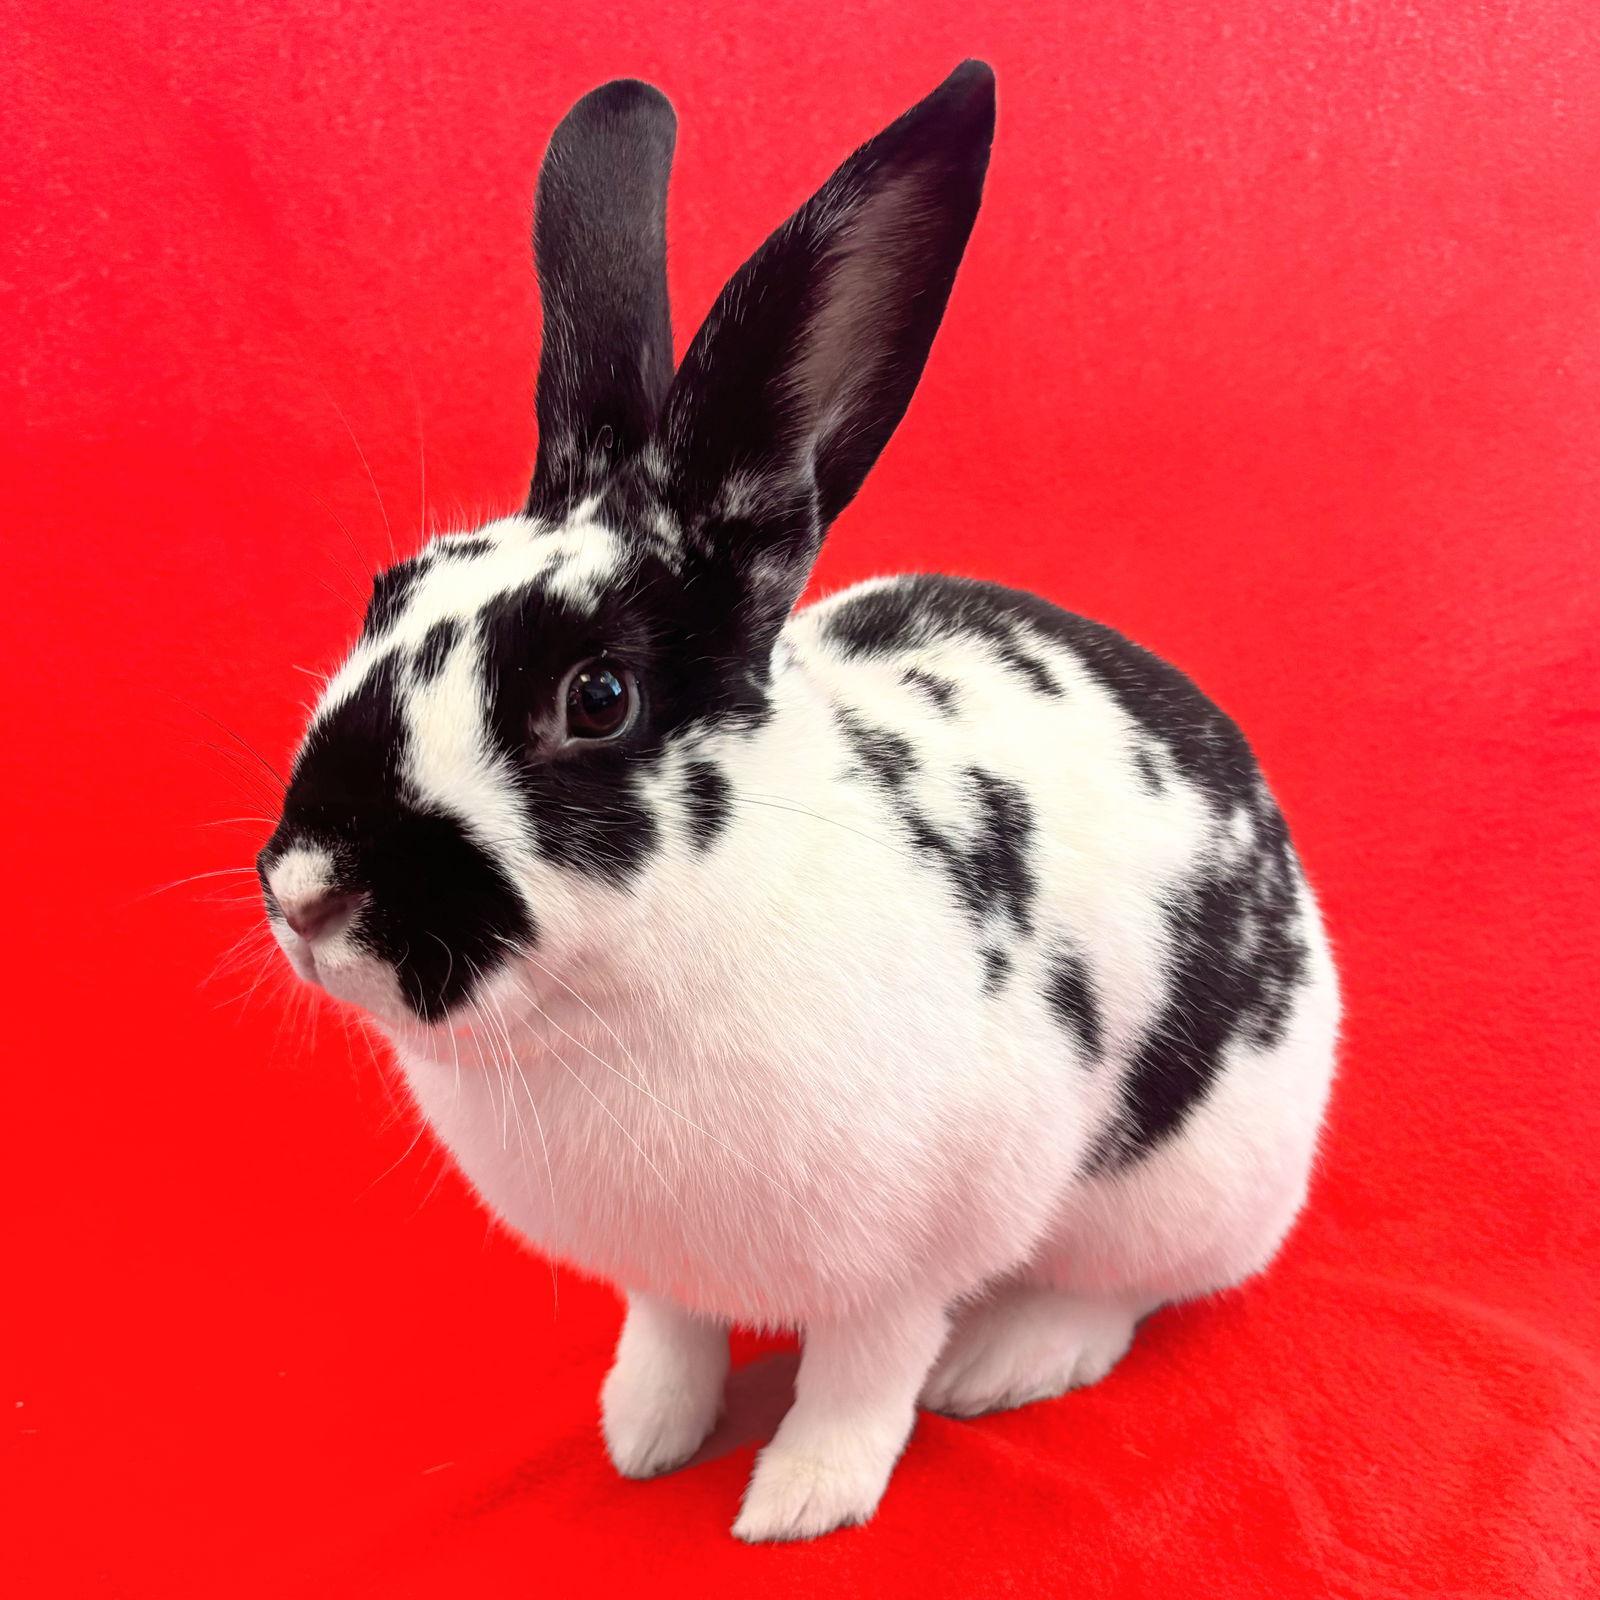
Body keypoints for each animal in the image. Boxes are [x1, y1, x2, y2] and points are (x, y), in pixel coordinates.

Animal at [257, 61, 1339, 1543]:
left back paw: (1012, 1357)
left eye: (598, 697)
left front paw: (800, 1501)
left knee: (1129, 1286)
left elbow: (864, 1373)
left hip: (1186, 1181)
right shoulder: (658, 1266)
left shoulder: (909, 1258)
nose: (308, 894)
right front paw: (643, 1433)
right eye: (387, 594)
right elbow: (671, 1331)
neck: (619, 1001)